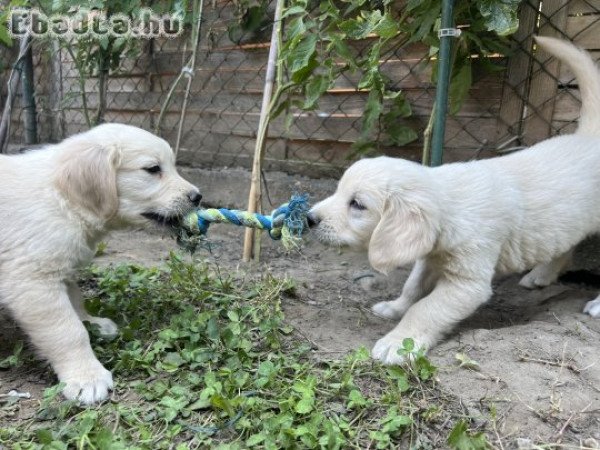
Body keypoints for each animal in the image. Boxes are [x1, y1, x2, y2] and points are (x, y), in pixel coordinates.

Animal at [0, 124, 202, 404]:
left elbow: (76, 301)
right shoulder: (33, 280)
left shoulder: (62, 267)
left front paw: (92, 323)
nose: (197, 196)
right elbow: (69, 331)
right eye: (153, 169)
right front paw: (87, 377)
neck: (64, 199)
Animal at [308, 36, 600, 366]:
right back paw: (540, 275)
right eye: (339, 191)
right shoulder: (429, 257)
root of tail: (590, 136)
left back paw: (595, 305)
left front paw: (399, 342)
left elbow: (425, 308)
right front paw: (394, 307)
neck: (450, 206)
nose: (309, 218)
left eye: (357, 204)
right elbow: (413, 287)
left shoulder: (467, 282)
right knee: (566, 247)